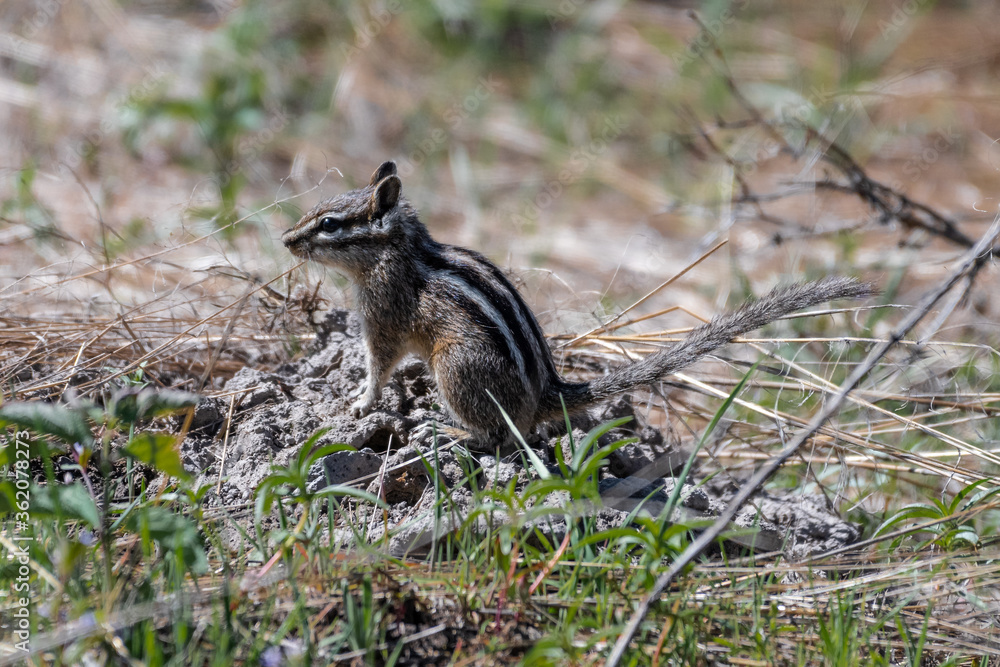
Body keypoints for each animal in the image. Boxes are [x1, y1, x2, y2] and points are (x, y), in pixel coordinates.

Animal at [282, 161, 873, 448]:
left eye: (329, 224)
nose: (286, 240)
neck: (395, 250)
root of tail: (547, 392)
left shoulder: (382, 316)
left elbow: (378, 365)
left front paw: (361, 403)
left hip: (455, 365)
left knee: (500, 437)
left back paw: (449, 430)